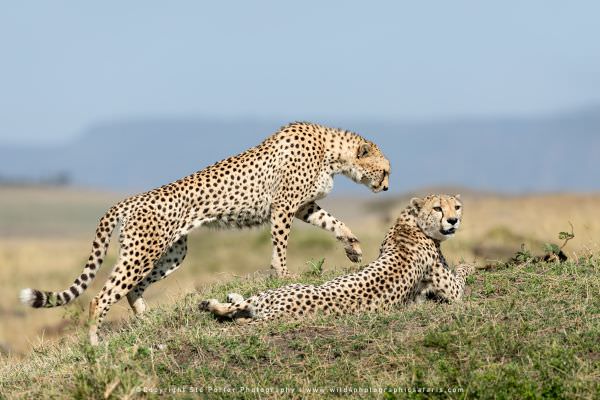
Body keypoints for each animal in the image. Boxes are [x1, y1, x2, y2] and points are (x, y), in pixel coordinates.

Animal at [18, 122, 392, 344]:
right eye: (386, 170)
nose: (388, 187)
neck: (332, 152)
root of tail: (128, 200)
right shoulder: (283, 207)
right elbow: (281, 245)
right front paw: (283, 274)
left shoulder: (303, 206)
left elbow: (334, 222)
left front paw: (354, 247)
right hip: (143, 252)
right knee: (103, 295)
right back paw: (96, 343)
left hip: (172, 252)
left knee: (132, 289)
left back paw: (148, 322)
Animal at [200, 194, 474, 322]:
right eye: (438, 208)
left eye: (457, 207)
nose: (454, 220)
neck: (410, 223)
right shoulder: (453, 291)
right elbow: (462, 275)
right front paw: (470, 264)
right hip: (282, 289)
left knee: (233, 308)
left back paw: (218, 301)